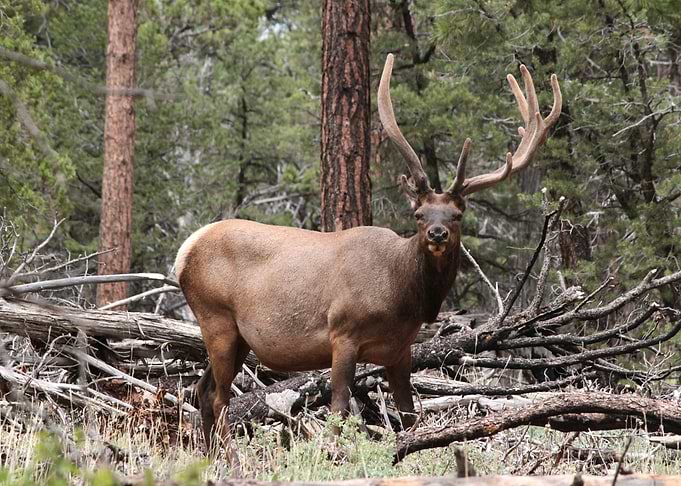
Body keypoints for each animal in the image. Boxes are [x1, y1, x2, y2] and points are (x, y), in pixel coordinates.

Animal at [175, 54, 561, 457]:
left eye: (457, 215)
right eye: (419, 214)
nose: (437, 233)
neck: (401, 293)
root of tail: (185, 251)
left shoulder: (400, 349)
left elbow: (409, 415)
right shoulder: (342, 332)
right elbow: (339, 408)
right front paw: (332, 455)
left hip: (236, 336)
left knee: (202, 391)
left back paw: (211, 458)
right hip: (216, 318)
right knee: (218, 397)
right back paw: (229, 460)